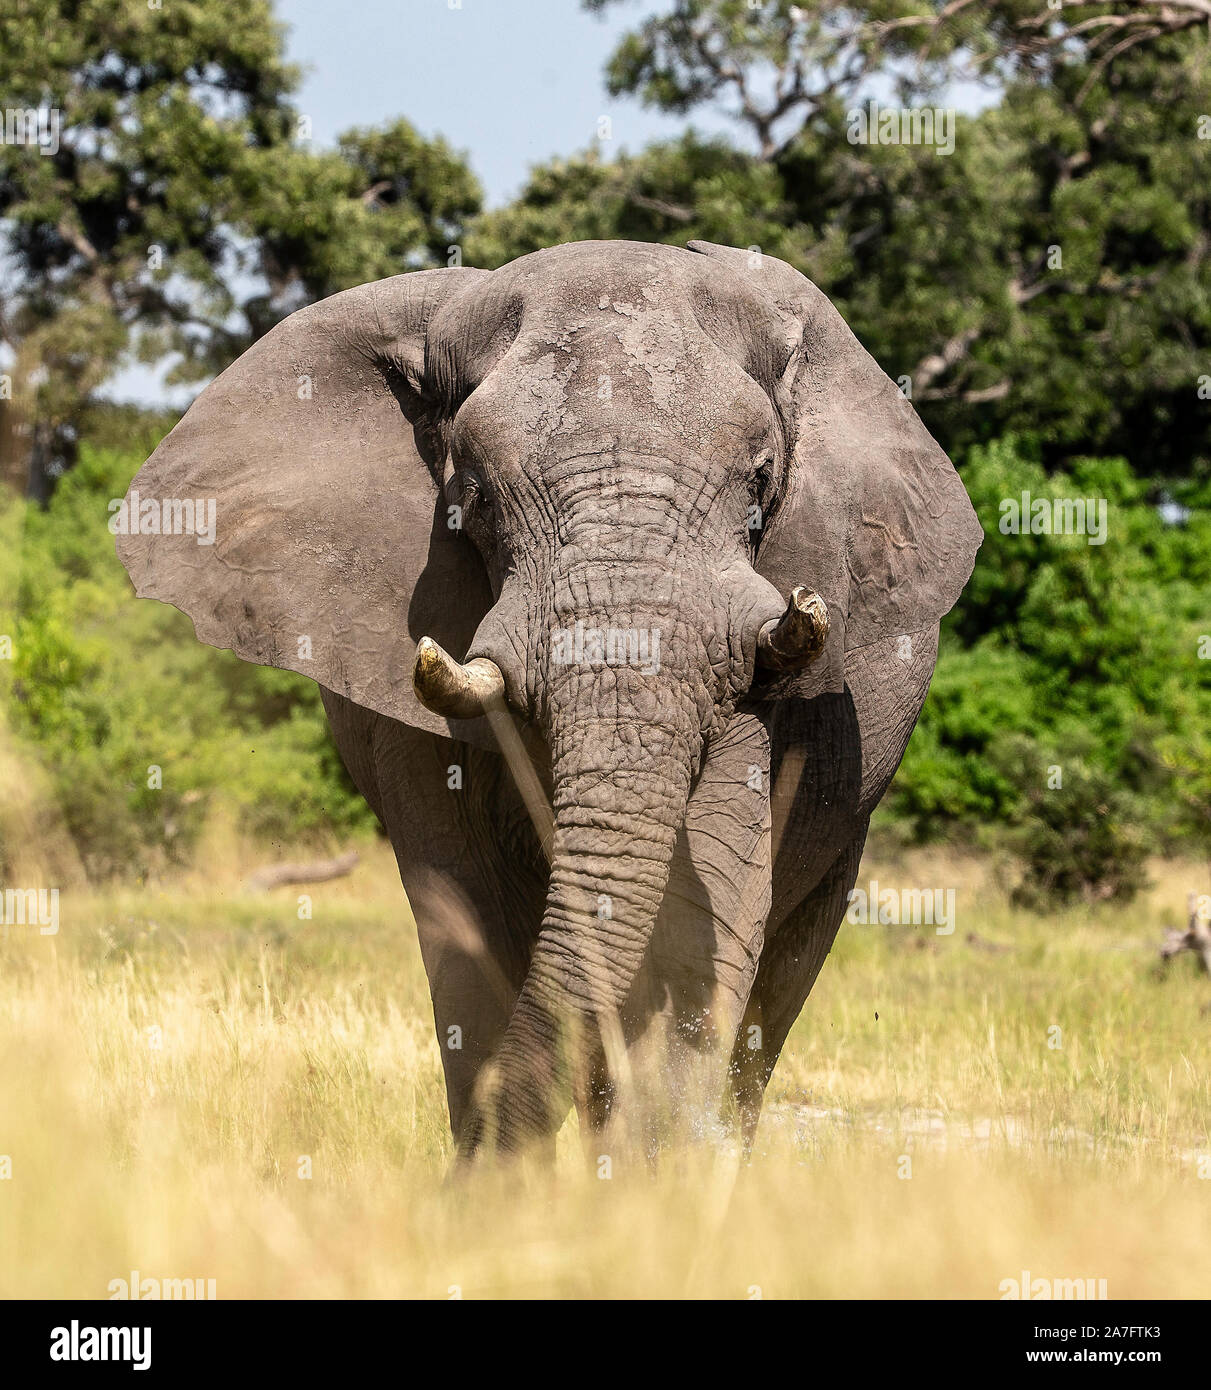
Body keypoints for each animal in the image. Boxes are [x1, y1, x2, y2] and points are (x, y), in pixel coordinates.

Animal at [116, 241, 984, 1162]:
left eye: (759, 483)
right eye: (473, 495)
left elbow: (696, 918)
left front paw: (640, 1185)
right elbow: (465, 924)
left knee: (777, 987)